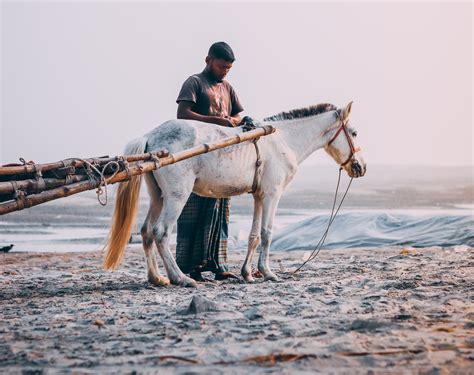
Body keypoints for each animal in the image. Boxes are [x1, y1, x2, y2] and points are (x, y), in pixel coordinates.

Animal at [103, 101, 366, 286]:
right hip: (177, 196)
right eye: (354, 133)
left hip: (158, 195)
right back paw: (181, 278)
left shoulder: (259, 196)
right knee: (161, 232)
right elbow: (267, 233)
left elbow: (254, 236)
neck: (283, 141)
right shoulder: (272, 195)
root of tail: (150, 136)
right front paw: (267, 272)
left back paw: (157, 278)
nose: (361, 167)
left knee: (146, 231)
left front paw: (248, 274)